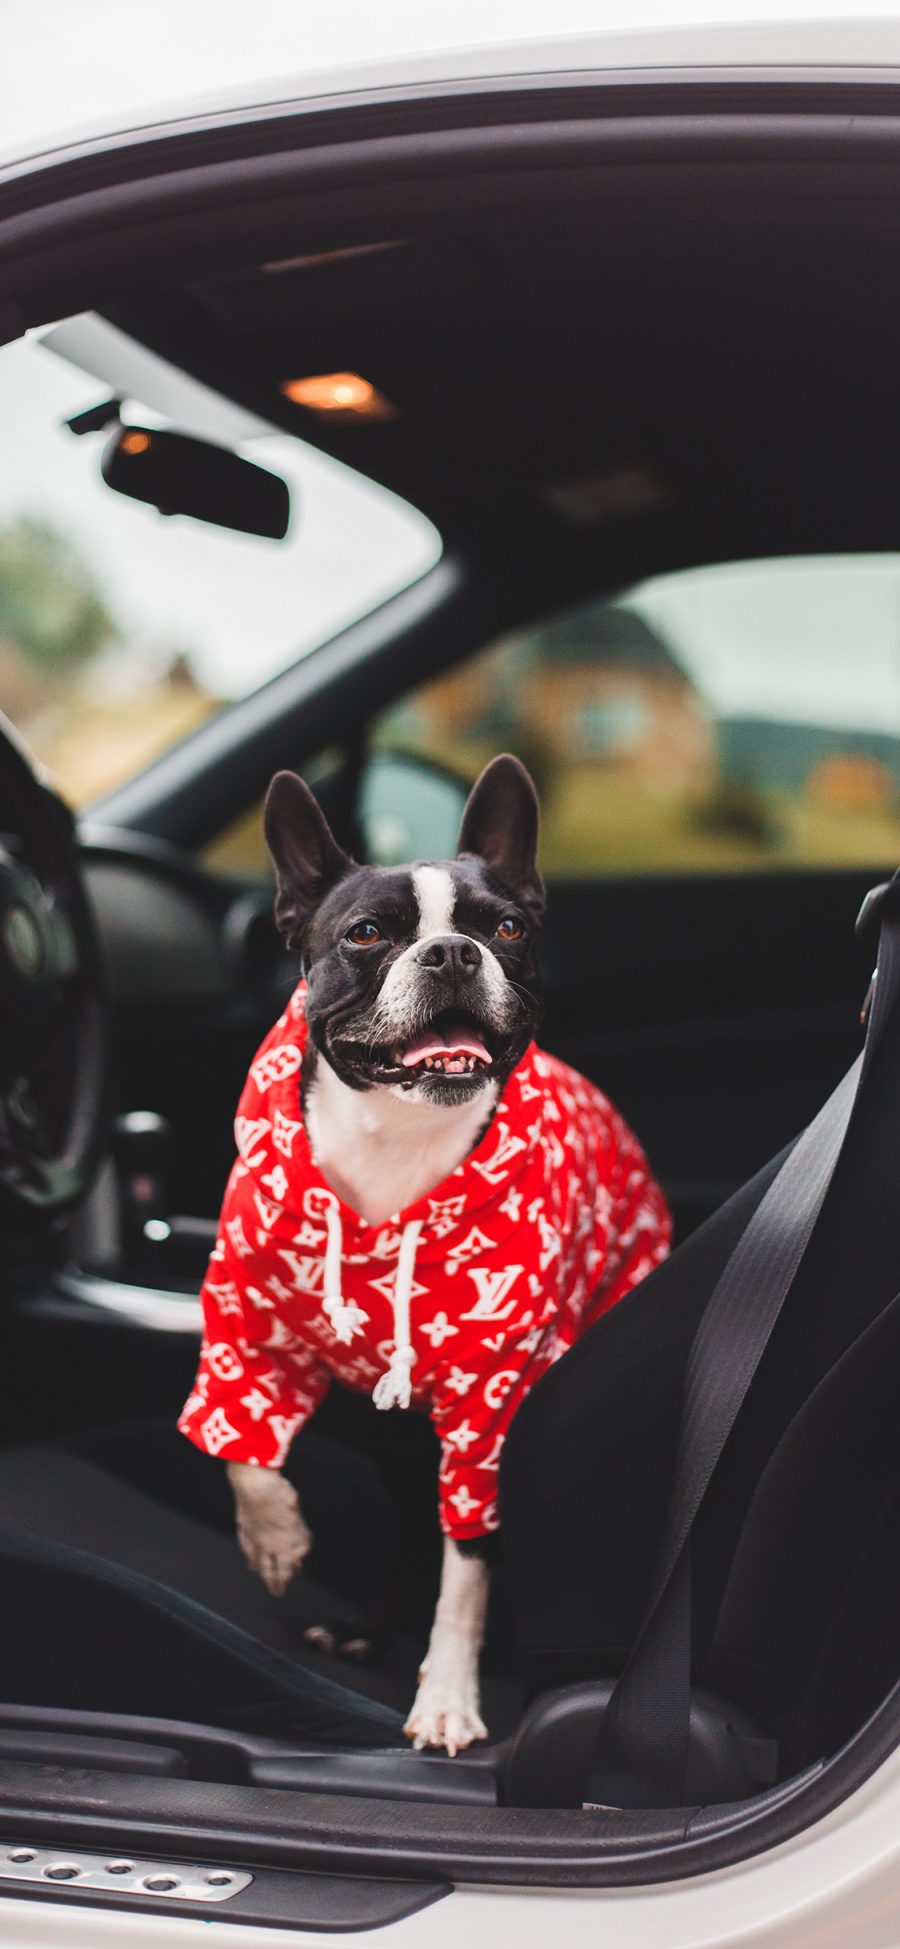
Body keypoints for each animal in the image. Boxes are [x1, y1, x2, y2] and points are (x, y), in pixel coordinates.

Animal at [179, 756, 670, 1754]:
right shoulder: (245, 1326)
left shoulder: (487, 1415)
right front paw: (274, 1540)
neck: (395, 1141)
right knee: (408, 1526)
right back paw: (367, 1628)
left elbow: (466, 1578)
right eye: (365, 933)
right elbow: (243, 1445)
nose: (451, 953)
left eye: (507, 927)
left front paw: (447, 1696)